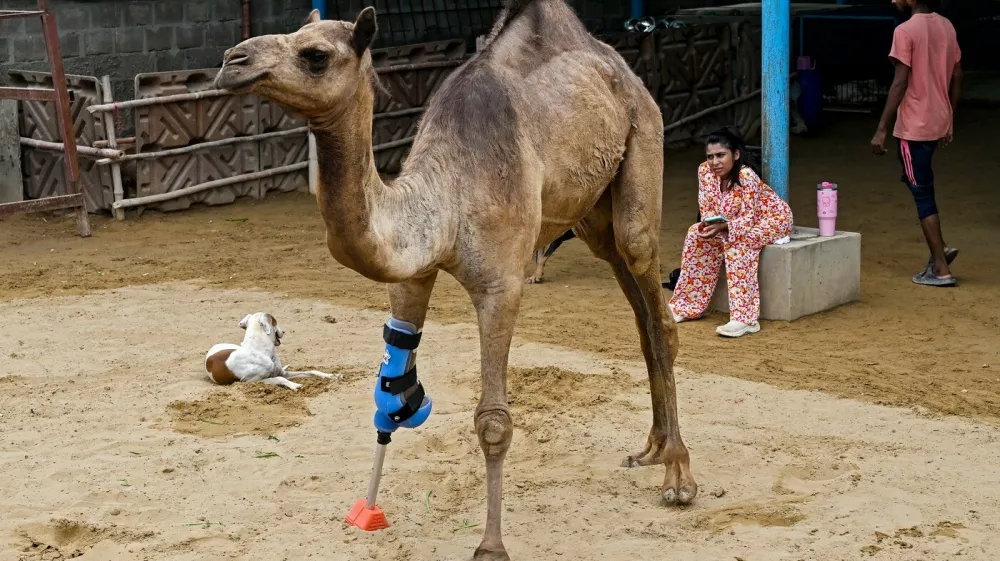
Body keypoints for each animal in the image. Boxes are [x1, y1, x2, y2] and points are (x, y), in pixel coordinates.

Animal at [215, 0, 697, 558]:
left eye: (314, 55)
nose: (232, 60)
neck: (444, 201)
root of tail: (620, 68)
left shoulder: (500, 285)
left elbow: (493, 421)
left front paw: (490, 546)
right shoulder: (410, 276)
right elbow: (388, 399)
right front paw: (365, 510)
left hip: (644, 143)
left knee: (656, 305)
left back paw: (679, 476)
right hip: (593, 215)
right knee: (637, 309)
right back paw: (651, 449)